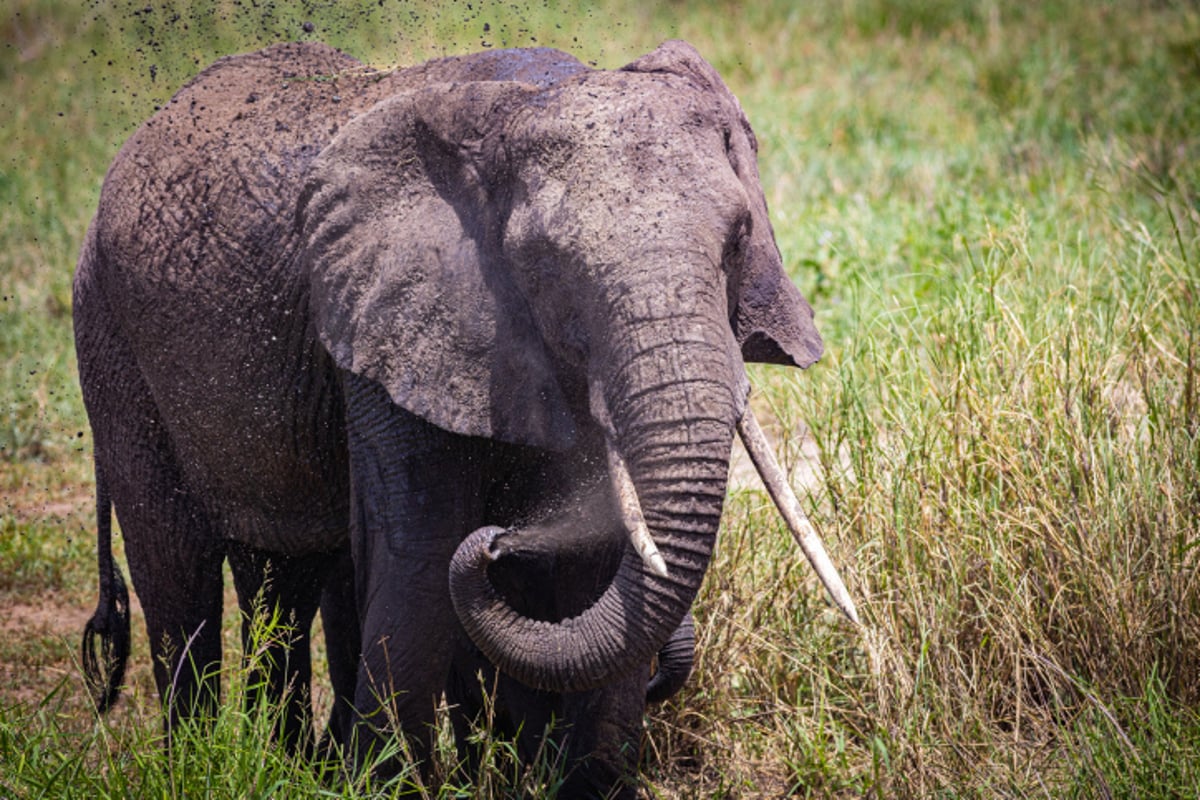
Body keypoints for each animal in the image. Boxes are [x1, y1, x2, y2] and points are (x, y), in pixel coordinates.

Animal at [72, 38, 854, 800]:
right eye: (546, 263)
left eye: (738, 240)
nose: (502, 541)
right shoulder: (387, 324)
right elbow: (420, 552)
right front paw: (382, 788)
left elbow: (597, 556)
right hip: (110, 337)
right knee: (178, 572)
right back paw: (202, 766)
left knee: (281, 574)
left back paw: (286, 765)